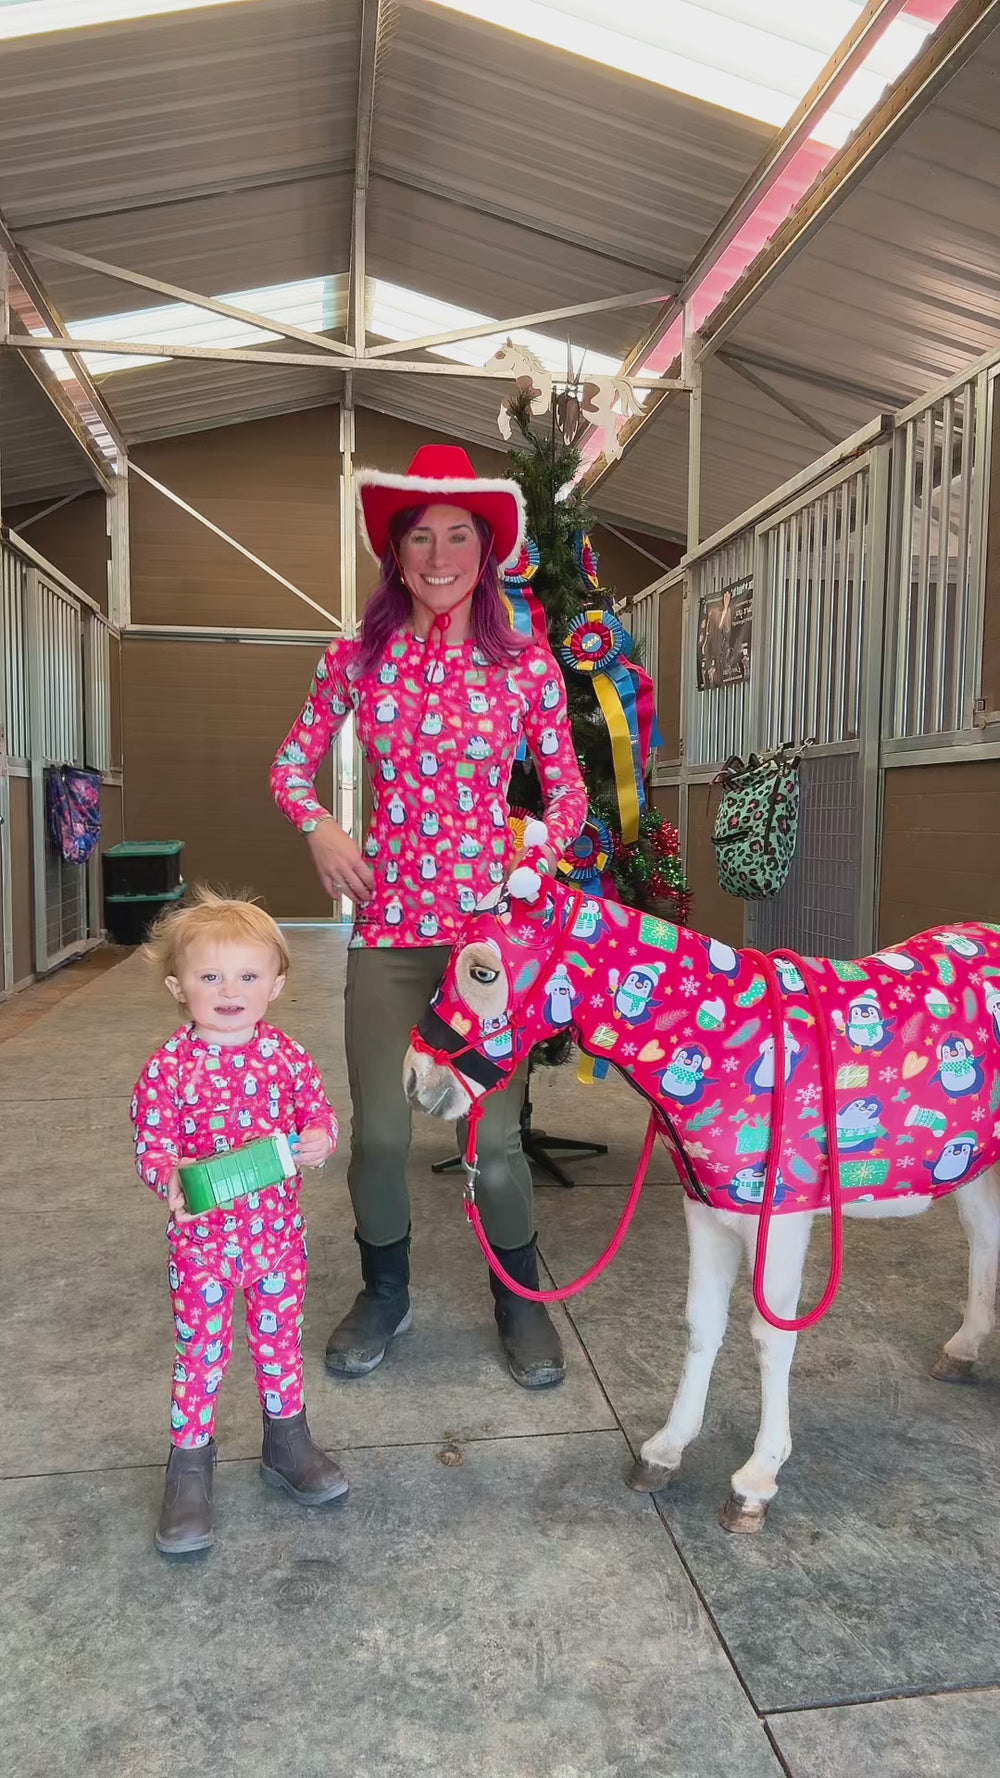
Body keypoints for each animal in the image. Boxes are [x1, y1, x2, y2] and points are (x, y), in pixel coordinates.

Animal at [400, 874, 996, 1529]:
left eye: (482, 971)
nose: (416, 1081)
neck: (735, 1047)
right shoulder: (708, 1215)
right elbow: (701, 1323)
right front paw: (665, 1450)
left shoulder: (781, 1224)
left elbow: (771, 1338)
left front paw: (757, 1480)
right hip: (977, 1167)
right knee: (984, 1245)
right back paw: (965, 1349)